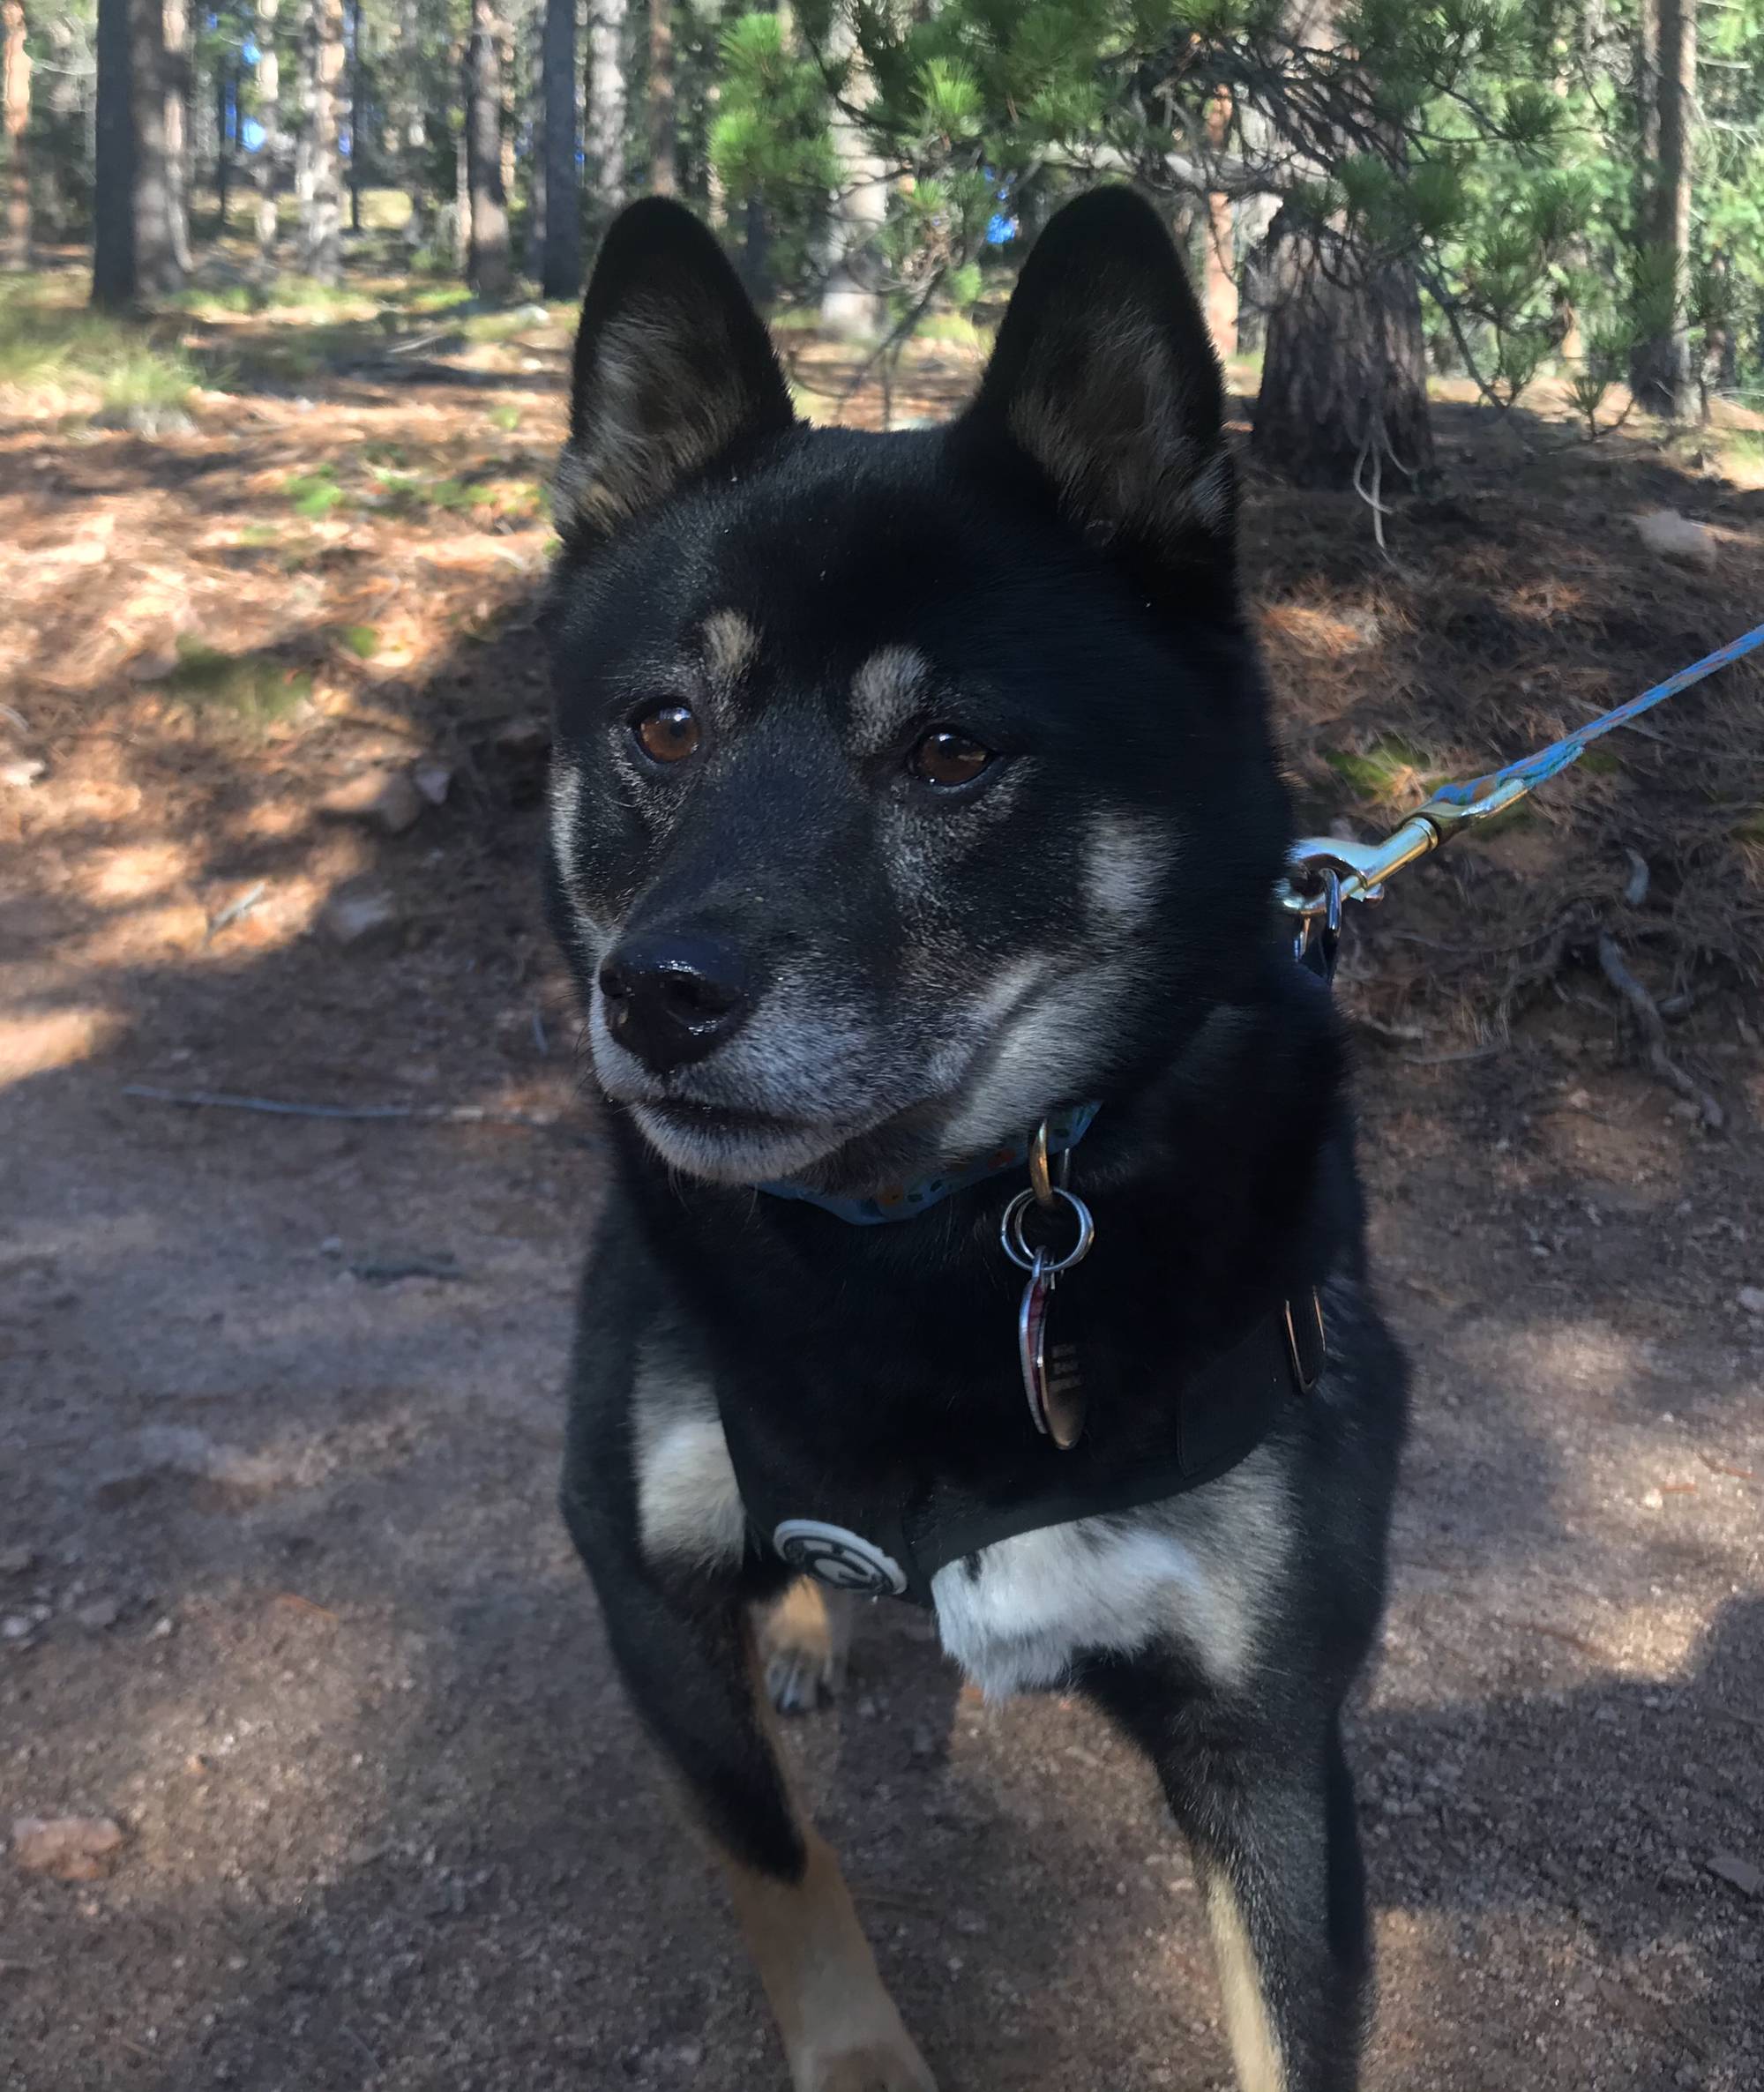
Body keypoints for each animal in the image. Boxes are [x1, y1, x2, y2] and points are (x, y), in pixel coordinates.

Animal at [543, 188, 1414, 2083]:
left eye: (950, 751)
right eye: (662, 723)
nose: (656, 997)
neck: (933, 1239)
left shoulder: (1268, 1734)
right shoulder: (635, 1583)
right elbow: (783, 1863)